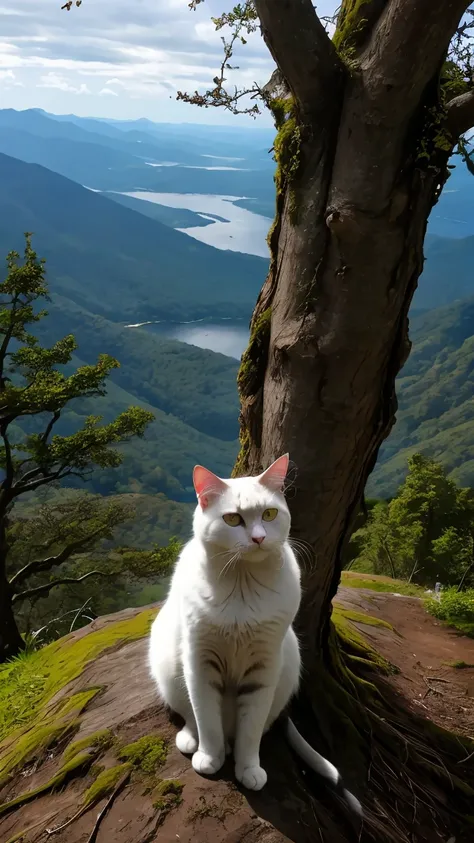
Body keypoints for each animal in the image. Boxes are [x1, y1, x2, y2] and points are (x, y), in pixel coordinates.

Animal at [150, 458, 362, 816]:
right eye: (233, 519)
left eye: (269, 514)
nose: (259, 538)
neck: (243, 584)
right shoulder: (200, 661)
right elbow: (207, 718)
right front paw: (210, 757)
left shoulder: (264, 666)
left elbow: (249, 732)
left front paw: (248, 768)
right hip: (168, 665)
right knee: (190, 715)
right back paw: (193, 741)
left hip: (288, 665)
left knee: (258, 727)